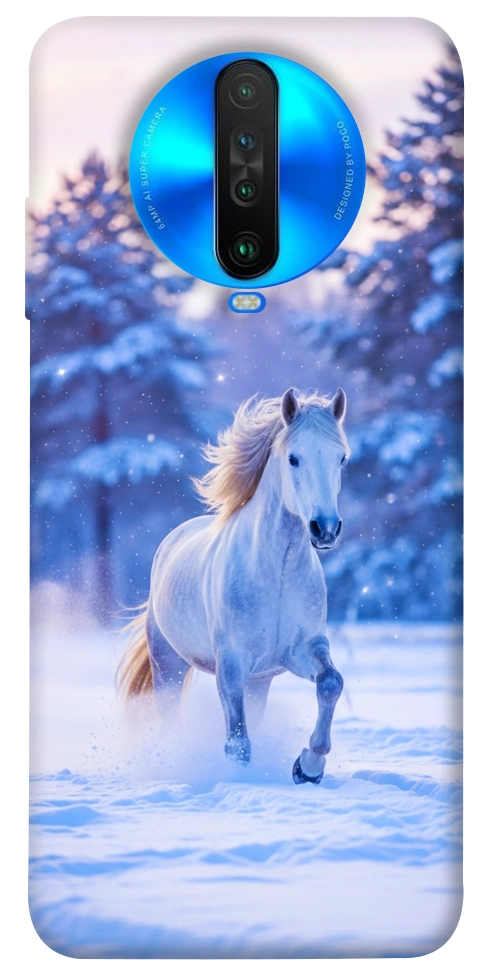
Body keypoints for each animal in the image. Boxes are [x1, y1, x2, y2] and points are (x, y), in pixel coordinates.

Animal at [118, 387, 350, 784]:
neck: (277, 573)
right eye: (294, 458)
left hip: (259, 682)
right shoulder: (231, 664)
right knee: (171, 717)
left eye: (341, 459)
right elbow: (237, 742)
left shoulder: (302, 649)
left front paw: (308, 767)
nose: (325, 529)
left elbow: (331, 683)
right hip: (168, 665)